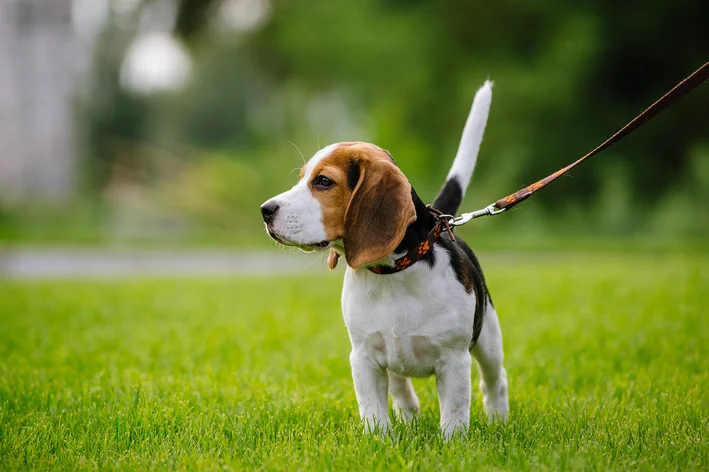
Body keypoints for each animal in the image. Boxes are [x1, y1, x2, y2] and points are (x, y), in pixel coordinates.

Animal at [262, 82, 506, 438]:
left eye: (323, 181)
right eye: (303, 177)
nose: (265, 210)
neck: (392, 273)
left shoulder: (454, 360)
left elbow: (454, 416)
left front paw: (453, 444)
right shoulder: (363, 358)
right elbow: (374, 411)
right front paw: (379, 440)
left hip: (487, 338)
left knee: (494, 382)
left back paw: (499, 419)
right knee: (402, 387)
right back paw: (409, 416)